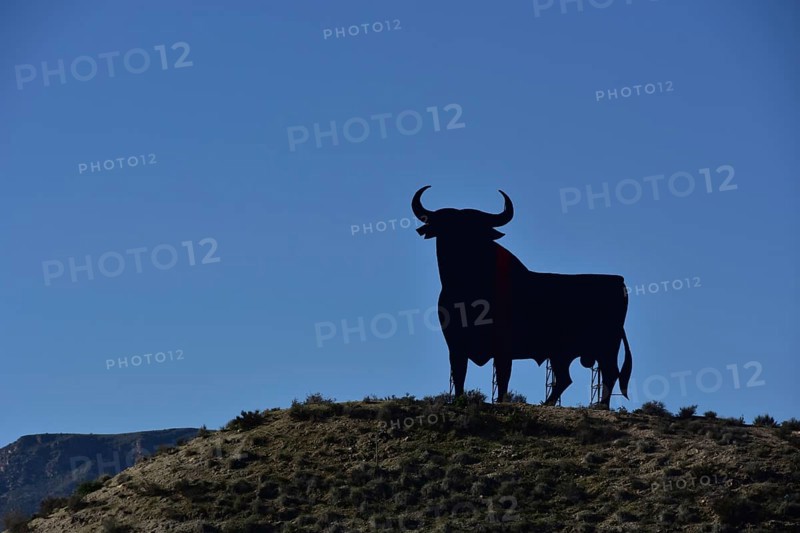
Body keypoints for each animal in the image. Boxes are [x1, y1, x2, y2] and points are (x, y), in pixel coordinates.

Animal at [412, 185, 632, 408]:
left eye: (475, 229)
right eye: (446, 227)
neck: (467, 289)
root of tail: (618, 282)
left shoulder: (503, 346)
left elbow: (503, 376)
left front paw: (500, 402)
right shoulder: (455, 344)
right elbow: (459, 374)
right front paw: (458, 400)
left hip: (605, 345)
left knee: (609, 373)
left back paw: (600, 405)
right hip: (562, 353)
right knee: (566, 378)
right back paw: (549, 403)